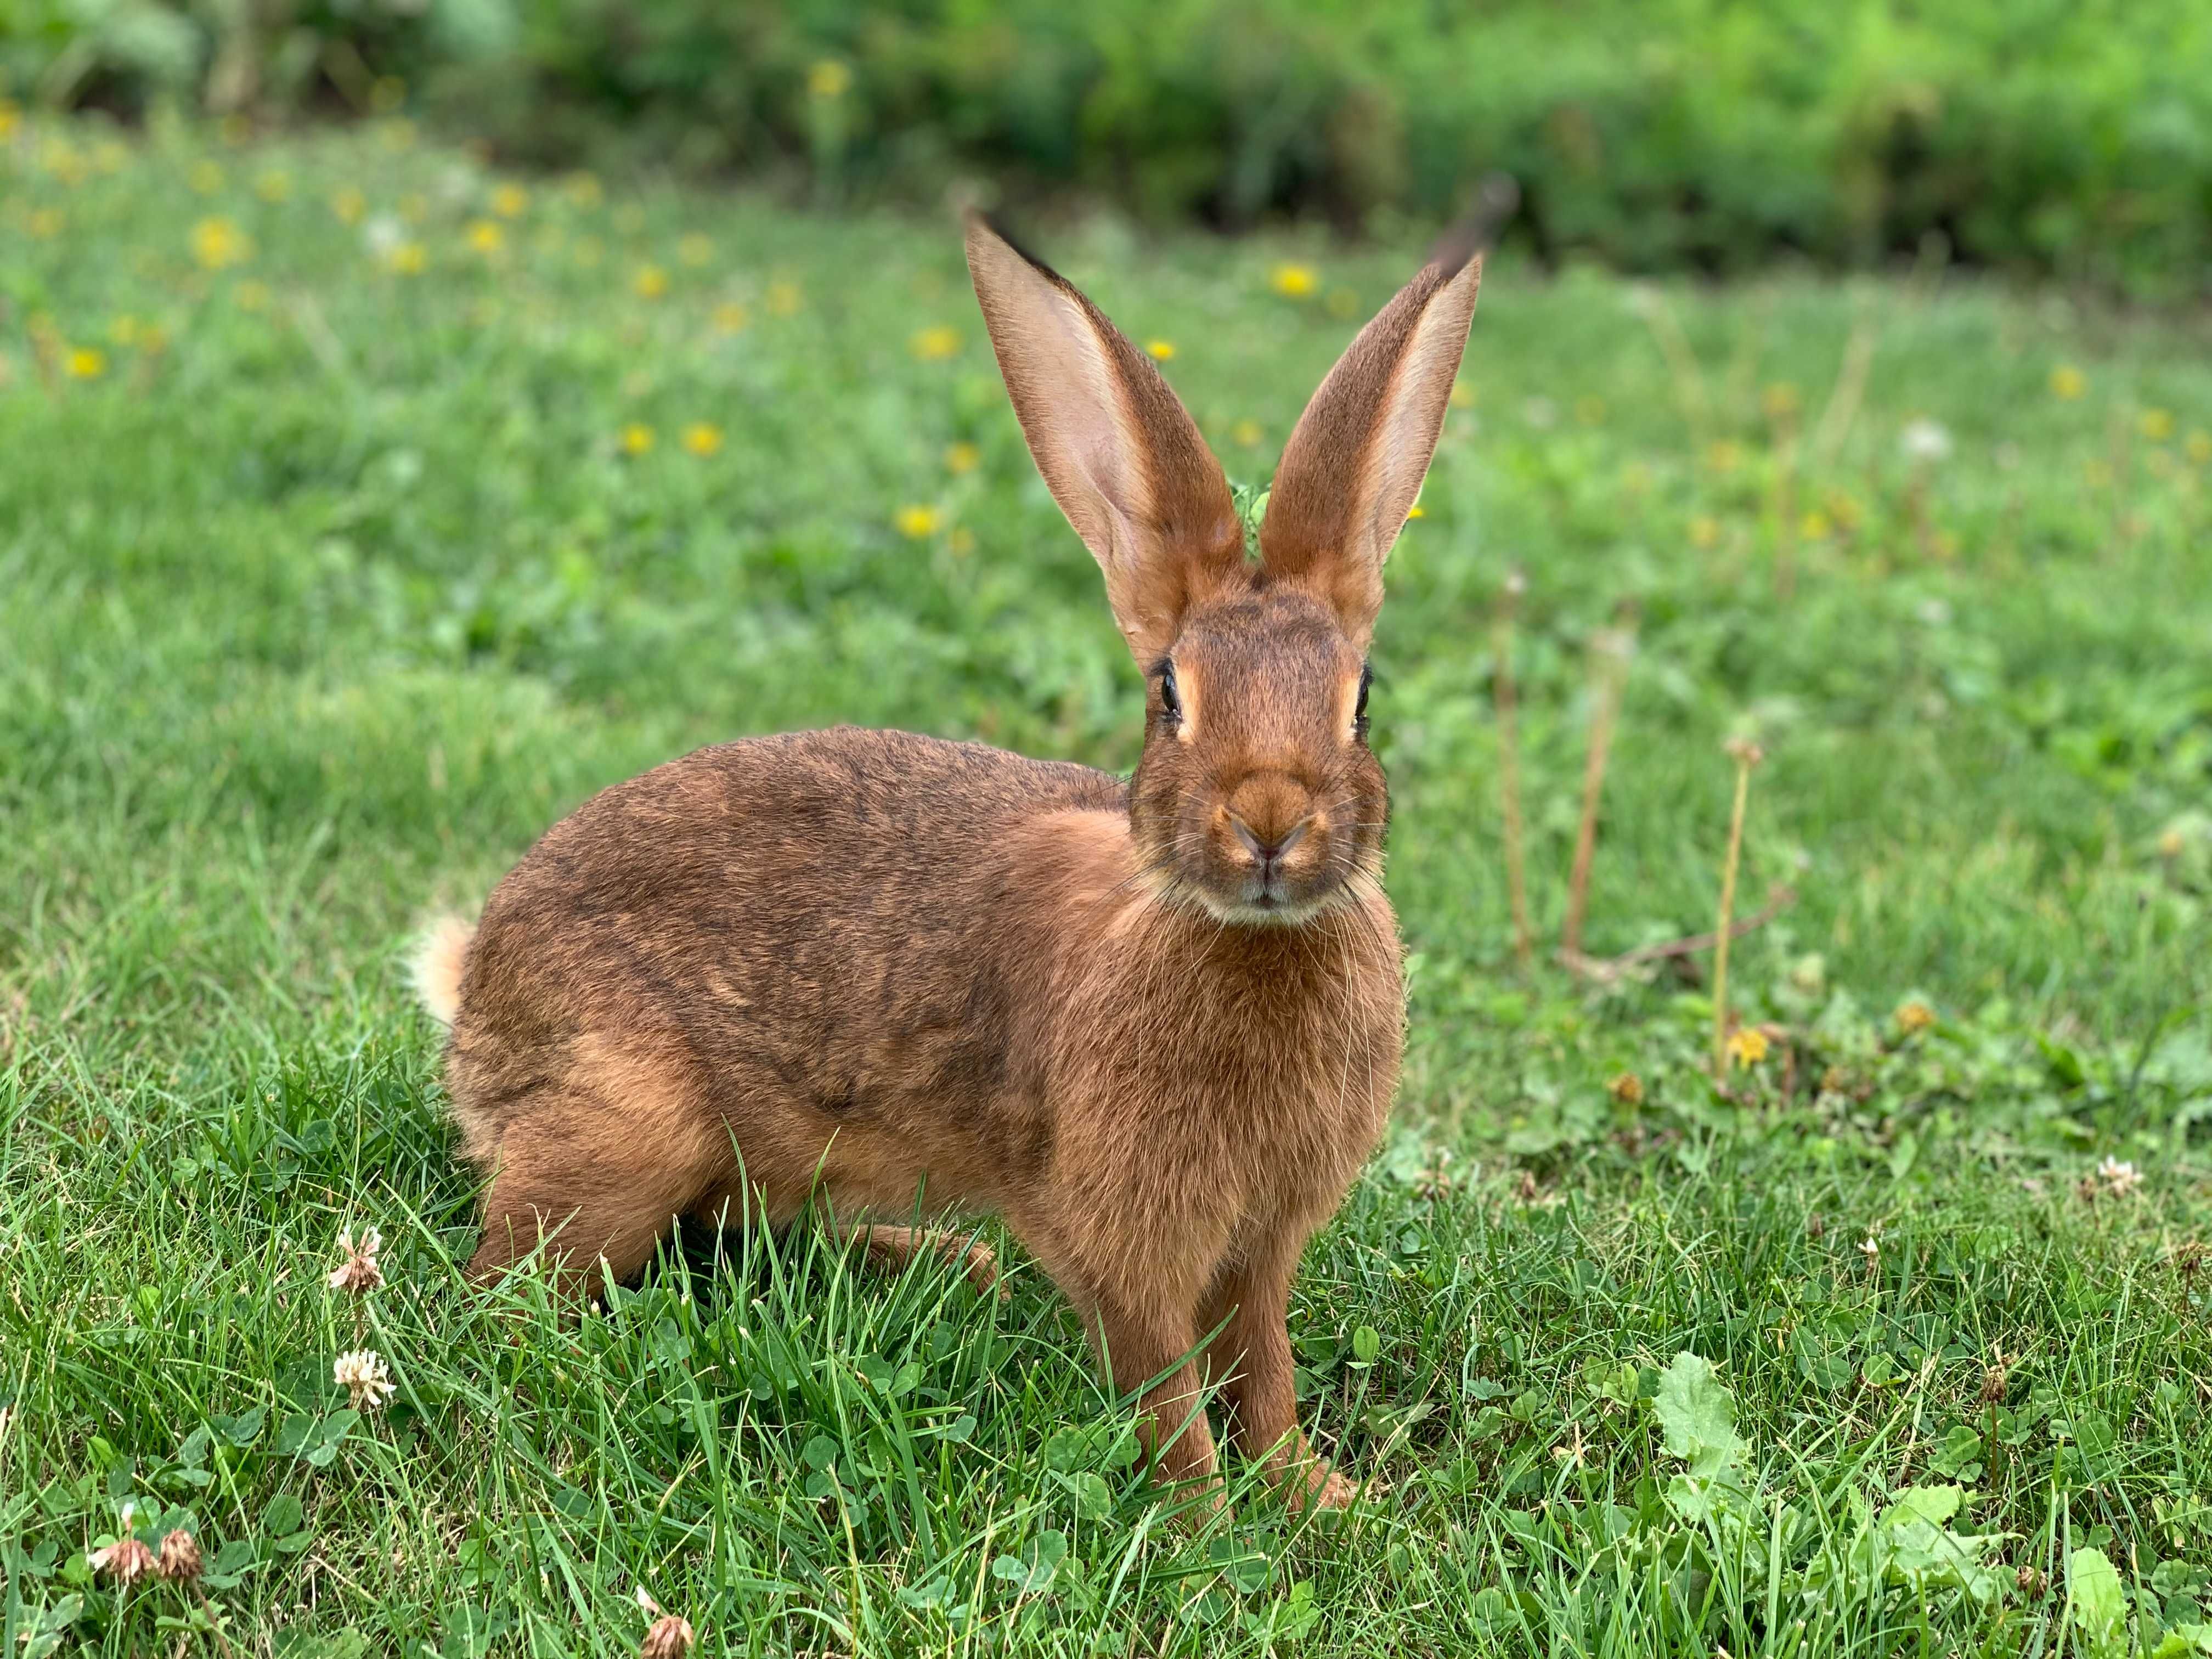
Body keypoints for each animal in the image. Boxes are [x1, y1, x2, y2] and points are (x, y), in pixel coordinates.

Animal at [416, 208, 1486, 1504]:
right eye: (1169, 695)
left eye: (1361, 700)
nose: (1271, 819)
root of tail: (474, 988)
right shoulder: (1117, 1237)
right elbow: (1167, 1390)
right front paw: (1207, 1520)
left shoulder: (1261, 1242)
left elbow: (1263, 1365)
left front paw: (1316, 1498)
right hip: (630, 1124)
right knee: (518, 1285)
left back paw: (932, 1264)